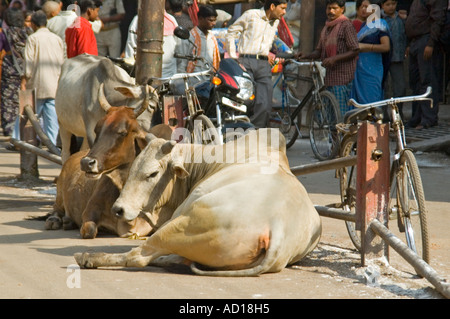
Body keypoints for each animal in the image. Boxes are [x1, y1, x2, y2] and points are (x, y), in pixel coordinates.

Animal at [46, 84, 171, 239]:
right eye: (97, 129)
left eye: (123, 132)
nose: (86, 162)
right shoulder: (89, 212)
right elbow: (90, 230)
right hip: (59, 193)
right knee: (56, 209)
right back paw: (56, 220)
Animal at [74, 130, 320, 278]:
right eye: (133, 168)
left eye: (152, 174)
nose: (119, 209)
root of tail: (277, 226)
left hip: (182, 225)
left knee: (138, 257)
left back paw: (88, 258)